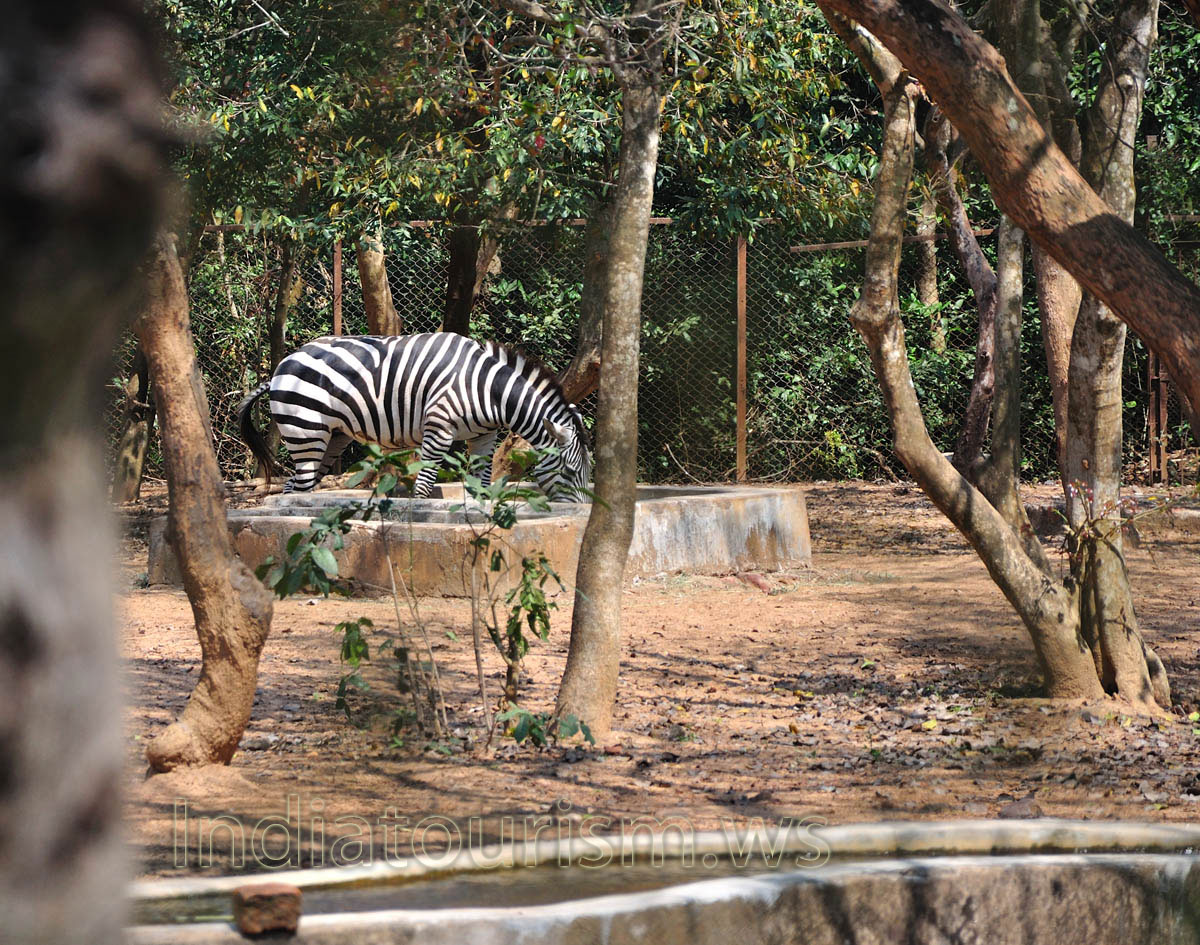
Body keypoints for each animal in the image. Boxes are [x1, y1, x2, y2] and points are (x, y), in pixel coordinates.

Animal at [238, 332, 591, 501]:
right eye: (571, 472)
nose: (581, 510)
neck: (487, 389)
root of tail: (281, 366)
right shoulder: (438, 430)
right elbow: (423, 488)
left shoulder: (484, 437)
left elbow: (480, 484)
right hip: (306, 430)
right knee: (299, 486)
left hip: (332, 437)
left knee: (296, 488)